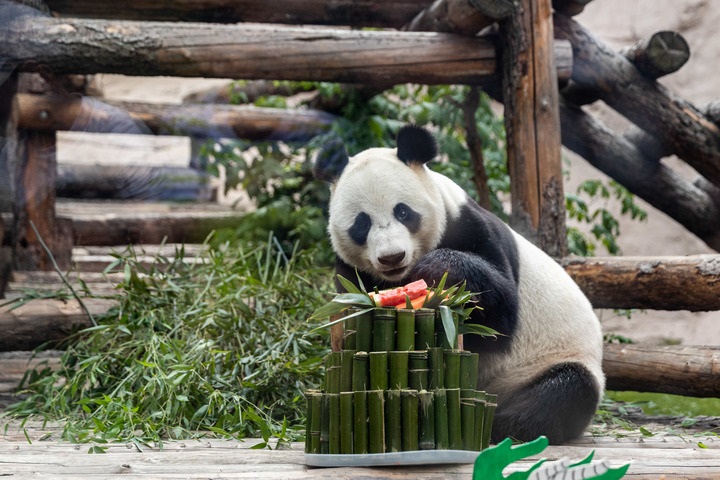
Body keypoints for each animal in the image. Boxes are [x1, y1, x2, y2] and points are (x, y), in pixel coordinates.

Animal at [316, 124, 608, 446]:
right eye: (361, 223)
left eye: (403, 212)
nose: (392, 257)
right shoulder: (350, 270)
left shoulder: (469, 225)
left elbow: (501, 316)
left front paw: (437, 270)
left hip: (550, 361)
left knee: (564, 392)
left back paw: (499, 425)